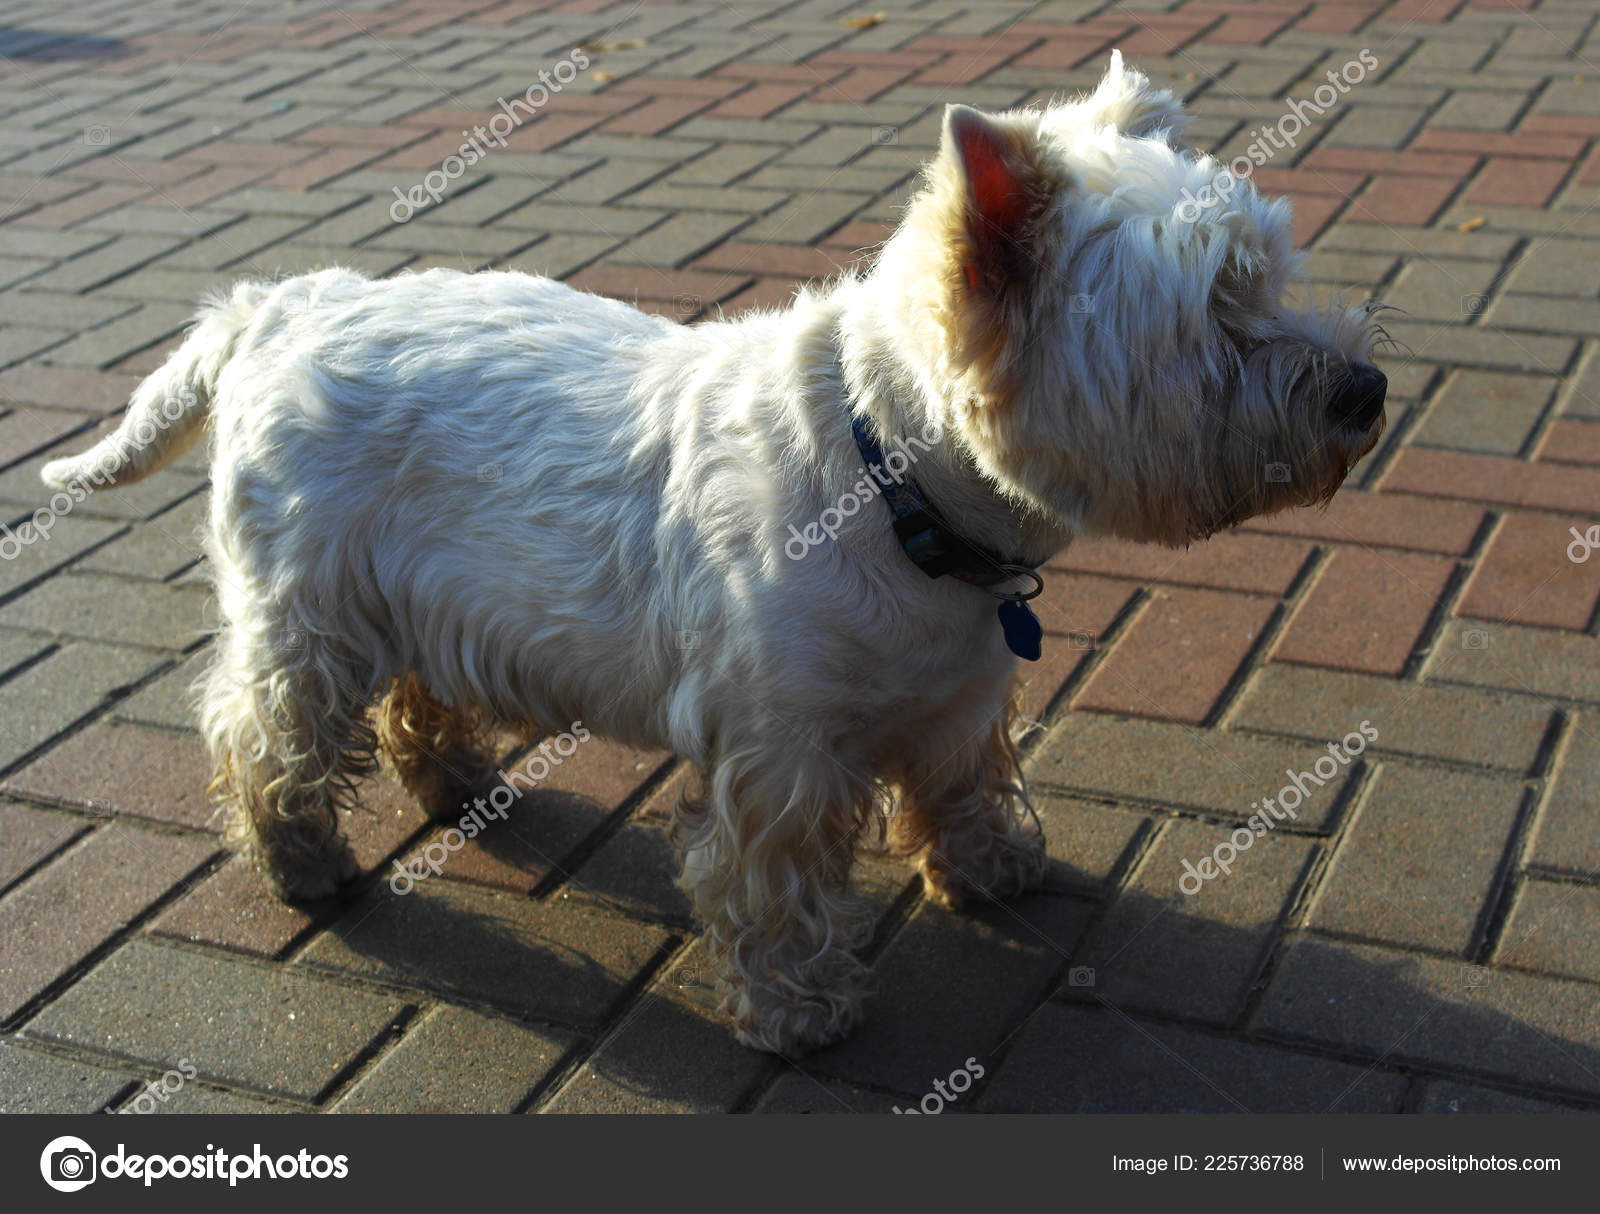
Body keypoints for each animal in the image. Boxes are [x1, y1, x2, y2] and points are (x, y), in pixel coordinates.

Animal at [43, 54, 1382, 1055]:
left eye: (1272, 272)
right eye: (1214, 314)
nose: (1364, 392)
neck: (899, 486)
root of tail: (274, 304)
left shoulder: (957, 690)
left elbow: (960, 778)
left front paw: (992, 864)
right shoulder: (778, 746)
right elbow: (772, 880)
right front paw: (800, 1010)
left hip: (418, 588)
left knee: (413, 692)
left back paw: (455, 777)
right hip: (307, 604)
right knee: (265, 726)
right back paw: (302, 860)